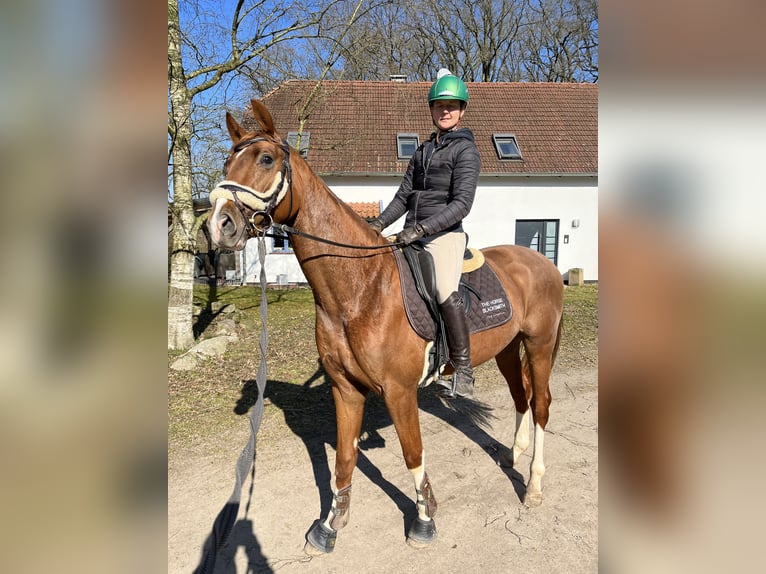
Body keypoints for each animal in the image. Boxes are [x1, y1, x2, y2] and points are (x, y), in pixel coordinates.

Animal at [207, 99, 564, 554]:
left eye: (265, 159)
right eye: (227, 162)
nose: (219, 224)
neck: (361, 289)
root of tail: (542, 262)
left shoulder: (399, 392)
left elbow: (413, 454)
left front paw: (424, 519)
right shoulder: (346, 389)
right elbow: (343, 458)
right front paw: (330, 524)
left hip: (538, 345)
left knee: (540, 405)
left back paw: (533, 485)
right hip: (506, 349)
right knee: (521, 397)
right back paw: (512, 456)